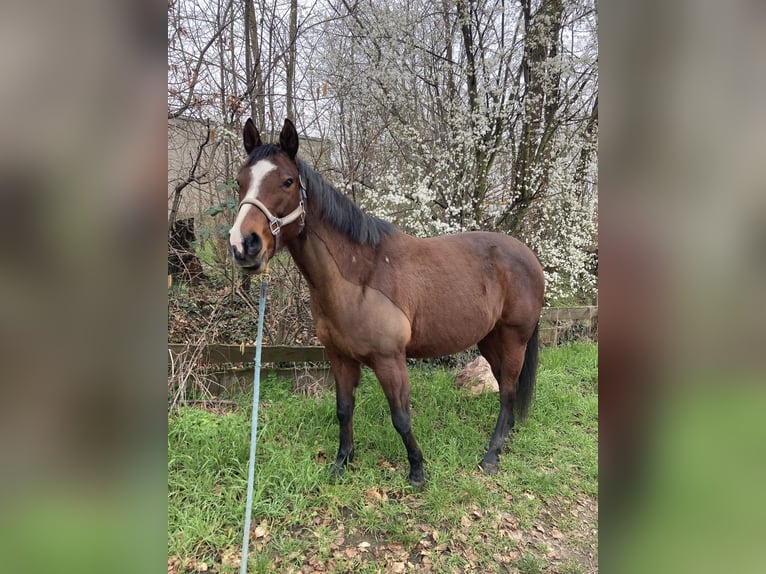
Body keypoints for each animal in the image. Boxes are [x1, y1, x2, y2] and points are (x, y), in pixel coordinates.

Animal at [228, 118, 545, 488]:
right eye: (240, 181)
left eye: (287, 181)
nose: (243, 245)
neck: (360, 277)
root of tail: (528, 256)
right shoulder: (340, 358)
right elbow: (343, 409)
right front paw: (342, 463)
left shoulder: (390, 360)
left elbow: (401, 417)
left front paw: (417, 470)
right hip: (490, 339)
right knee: (506, 388)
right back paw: (506, 436)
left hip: (513, 338)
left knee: (507, 389)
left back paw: (492, 456)